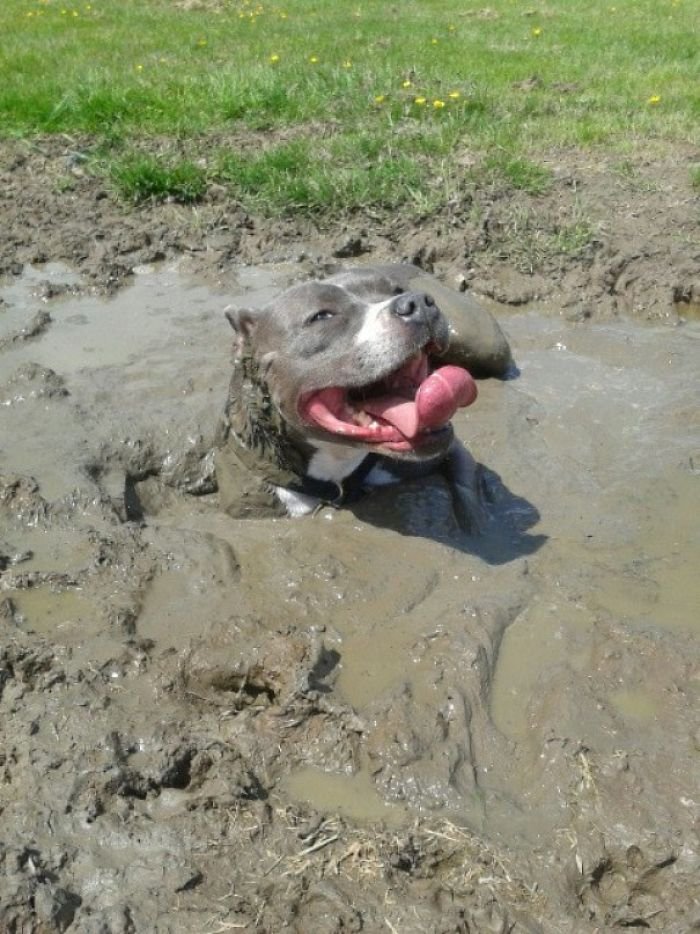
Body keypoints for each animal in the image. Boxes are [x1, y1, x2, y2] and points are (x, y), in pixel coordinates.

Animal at [216, 266, 512, 524]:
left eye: (397, 290)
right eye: (322, 316)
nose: (418, 301)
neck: (338, 467)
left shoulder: (450, 450)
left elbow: (467, 495)